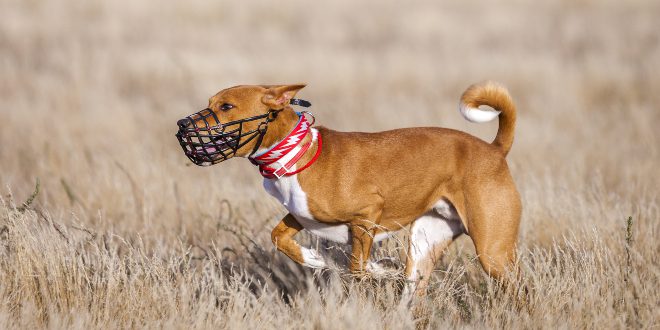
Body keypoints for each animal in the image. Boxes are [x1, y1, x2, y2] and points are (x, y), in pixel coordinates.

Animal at [175, 81, 520, 296]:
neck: (296, 152)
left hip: (492, 252)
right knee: (413, 287)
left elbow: (357, 267)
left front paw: (379, 270)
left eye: (226, 106)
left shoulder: (368, 212)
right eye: (210, 103)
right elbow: (278, 238)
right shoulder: (301, 215)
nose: (181, 124)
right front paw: (314, 258)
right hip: (425, 244)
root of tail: (494, 150)